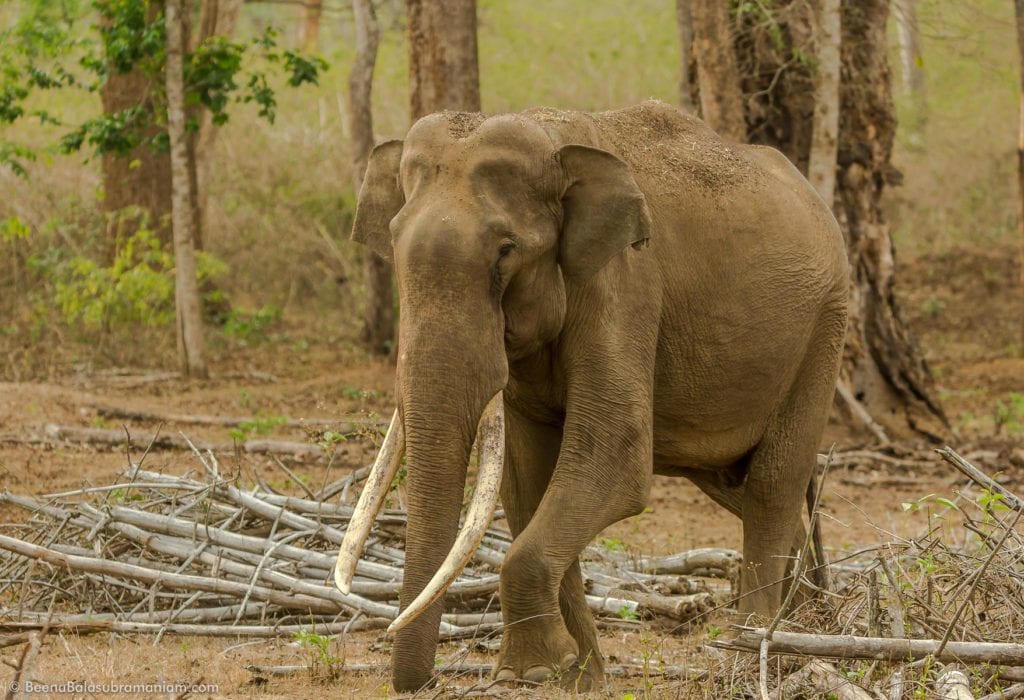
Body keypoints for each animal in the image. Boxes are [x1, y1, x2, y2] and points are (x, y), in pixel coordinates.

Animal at [333, 101, 847, 691]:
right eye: (392, 242)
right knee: (743, 486)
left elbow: (615, 455)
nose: (424, 683)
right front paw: (577, 678)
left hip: (825, 327)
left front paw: (534, 674)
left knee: (772, 484)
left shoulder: (625, 283)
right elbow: (527, 484)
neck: (552, 138)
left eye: (505, 251)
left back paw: (753, 655)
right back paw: (807, 628)